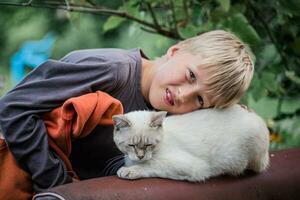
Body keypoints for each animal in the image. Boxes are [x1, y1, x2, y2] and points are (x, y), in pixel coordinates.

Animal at [112, 105, 270, 182]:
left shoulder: (191, 166)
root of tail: (254, 114)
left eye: (149, 145)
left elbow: (150, 165)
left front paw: (128, 171)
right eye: (131, 145)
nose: (140, 156)